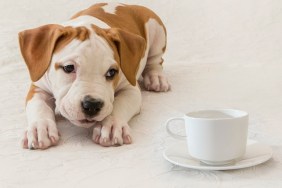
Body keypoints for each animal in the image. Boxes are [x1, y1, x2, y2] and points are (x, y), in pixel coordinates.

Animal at [19, 2, 170, 150]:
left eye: (111, 72)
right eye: (69, 68)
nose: (92, 105)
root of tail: (128, 5)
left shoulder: (130, 88)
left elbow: (120, 104)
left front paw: (111, 125)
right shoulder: (38, 87)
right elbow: (39, 106)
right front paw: (40, 128)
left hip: (157, 30)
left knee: (155, 60)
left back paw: (156, 78)